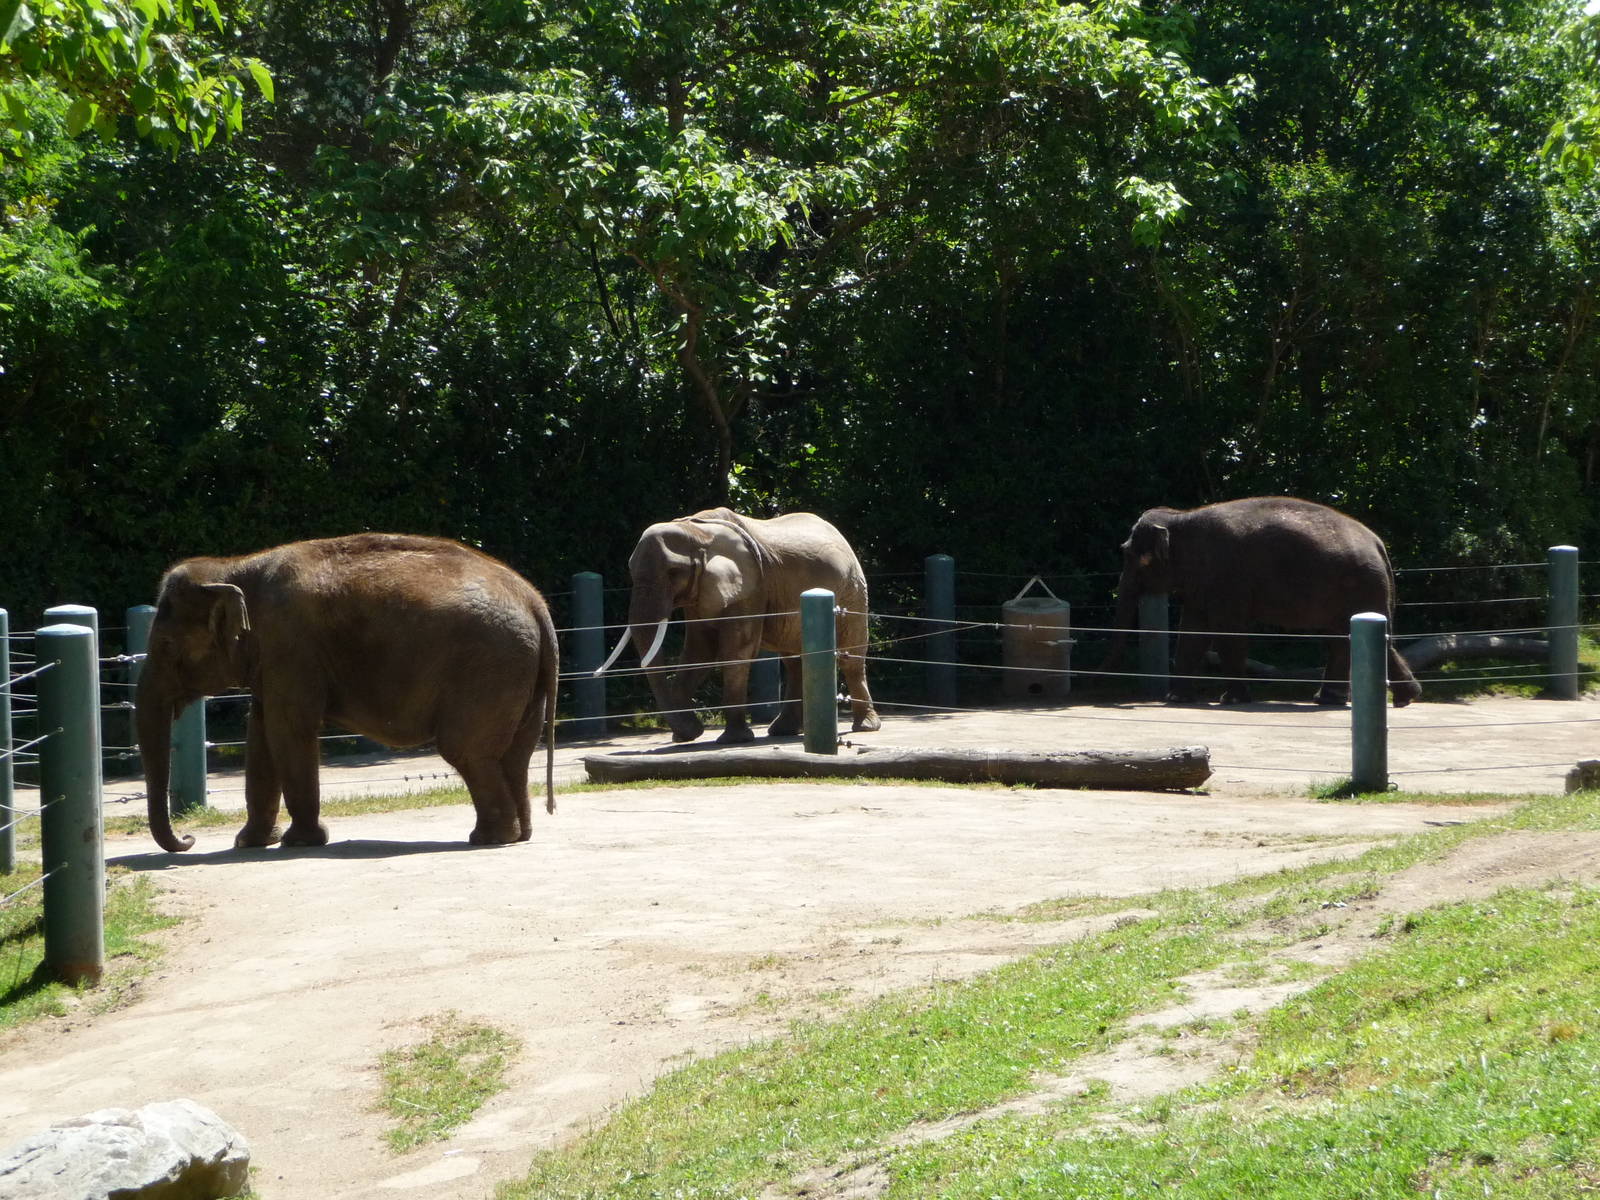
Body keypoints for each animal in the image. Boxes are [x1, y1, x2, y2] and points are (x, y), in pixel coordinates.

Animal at [135, 533, 559, 852]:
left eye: (167, 646)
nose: (188, 839)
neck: (233, 567)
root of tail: (535, 603)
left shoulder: (291, 646)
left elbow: (288, 730)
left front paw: (301, 842)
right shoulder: (273, 660)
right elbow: (260, 734)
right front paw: (249, 843)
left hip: (489, 667)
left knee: (466, 749)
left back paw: (489, 839)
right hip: (518, 671)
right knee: (514, 754)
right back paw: (519, 835)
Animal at [596, 508, 882, 743]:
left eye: (673, 572)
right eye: (631, 571)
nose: (692, 731)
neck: (696, 531)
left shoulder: (751, 586)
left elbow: (736, 651)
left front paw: (733, 739)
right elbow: (700, 653)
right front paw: (686, 734)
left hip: (853, 589)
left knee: (851, 657)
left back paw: (865, 727)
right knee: (795, 660)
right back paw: (784, 731)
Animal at [1111, 496, 1422, 707]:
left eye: (1130, 555)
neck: (1181, 517)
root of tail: (1378, 544)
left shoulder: (1227, 577)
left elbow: (1227, 630)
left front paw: (1231, 700)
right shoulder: (1203, 583)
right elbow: (1192, 632)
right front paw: (1176, 699)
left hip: (1361, 585)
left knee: (1357, 637)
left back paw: (1397, 698)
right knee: (1342, 638)